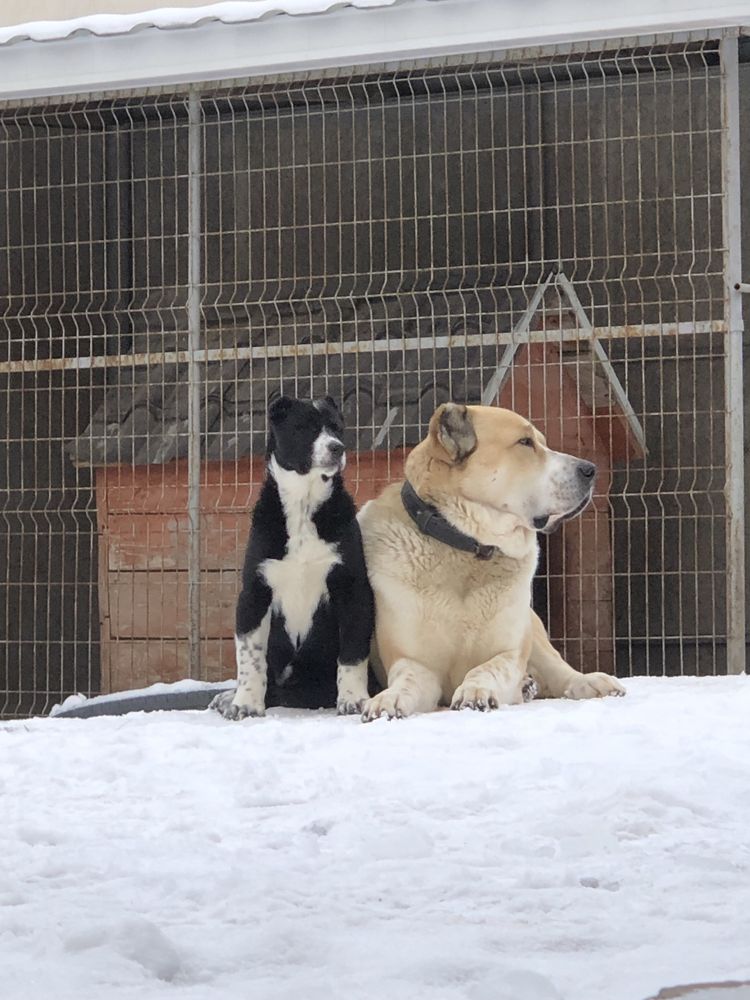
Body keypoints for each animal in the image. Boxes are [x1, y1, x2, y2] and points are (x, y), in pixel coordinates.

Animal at [212, 396, 376, 720]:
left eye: (336, 428)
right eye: (306, 427)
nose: (337, 447)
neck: (303, 504)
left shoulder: (352, 589)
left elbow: (352, 654)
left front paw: (353, 699)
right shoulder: (255, 592)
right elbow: (251, 657)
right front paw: (245, 703)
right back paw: (227, 697)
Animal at [362, 402, 624, 724]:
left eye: (542, 441)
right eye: (525, 442)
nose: (590, 470)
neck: (468, 546)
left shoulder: (510, 653)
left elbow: (487, 667)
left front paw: (475, 691)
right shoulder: (412, 661)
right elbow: (407, 679)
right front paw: (388, 698)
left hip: (532, 628)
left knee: (560, 672)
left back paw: (589, 682)